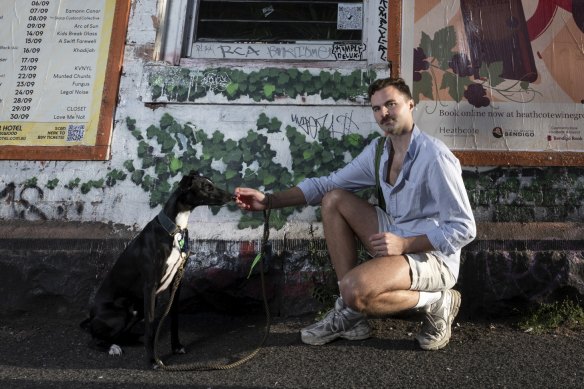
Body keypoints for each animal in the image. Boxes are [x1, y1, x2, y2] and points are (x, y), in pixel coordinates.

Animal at [82, 171, 233, 366]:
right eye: (207, 187)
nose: (232, 196)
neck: (174, 229)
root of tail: (91, 318)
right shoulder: (150, 285)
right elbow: (151, 325)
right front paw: (153, 359)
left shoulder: (176, 283)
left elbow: (174, 318)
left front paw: (176, 347)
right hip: (121, 313)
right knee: (94, 340)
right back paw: (112, 347)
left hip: (136, 308)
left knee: (121, 335)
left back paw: (132, 340)